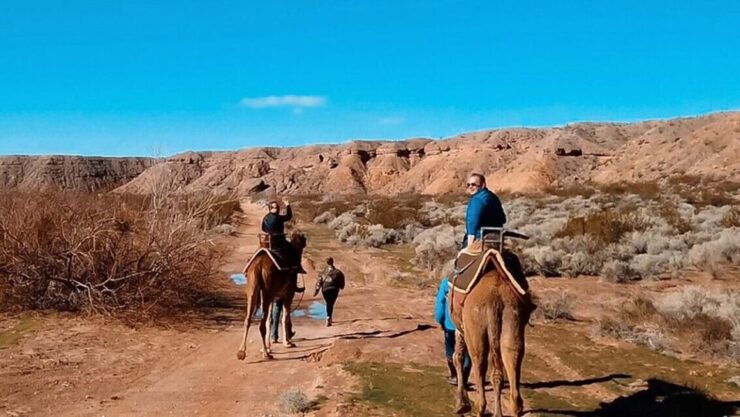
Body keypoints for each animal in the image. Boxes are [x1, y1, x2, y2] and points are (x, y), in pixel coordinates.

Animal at [236, 230, 306, 361]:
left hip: (252, 288)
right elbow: (284, 317)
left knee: (248, 319)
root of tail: (259, 266)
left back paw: (241, 352)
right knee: (261, 324)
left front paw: (270, 346)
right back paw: (266, 353)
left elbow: (271, 319)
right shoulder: (288, 294)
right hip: (267, 290)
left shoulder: (274, 296)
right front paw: (287, 343)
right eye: (303, 240)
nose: (305, 240)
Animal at [450, 257, 534, 417]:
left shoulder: (461, 328)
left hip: (475, 325)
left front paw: (461, 404)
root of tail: (495, 299)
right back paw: (512, 409)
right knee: (512, 358)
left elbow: (458, 357)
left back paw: (478, 408)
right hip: (512, 320)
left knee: (479, 361)